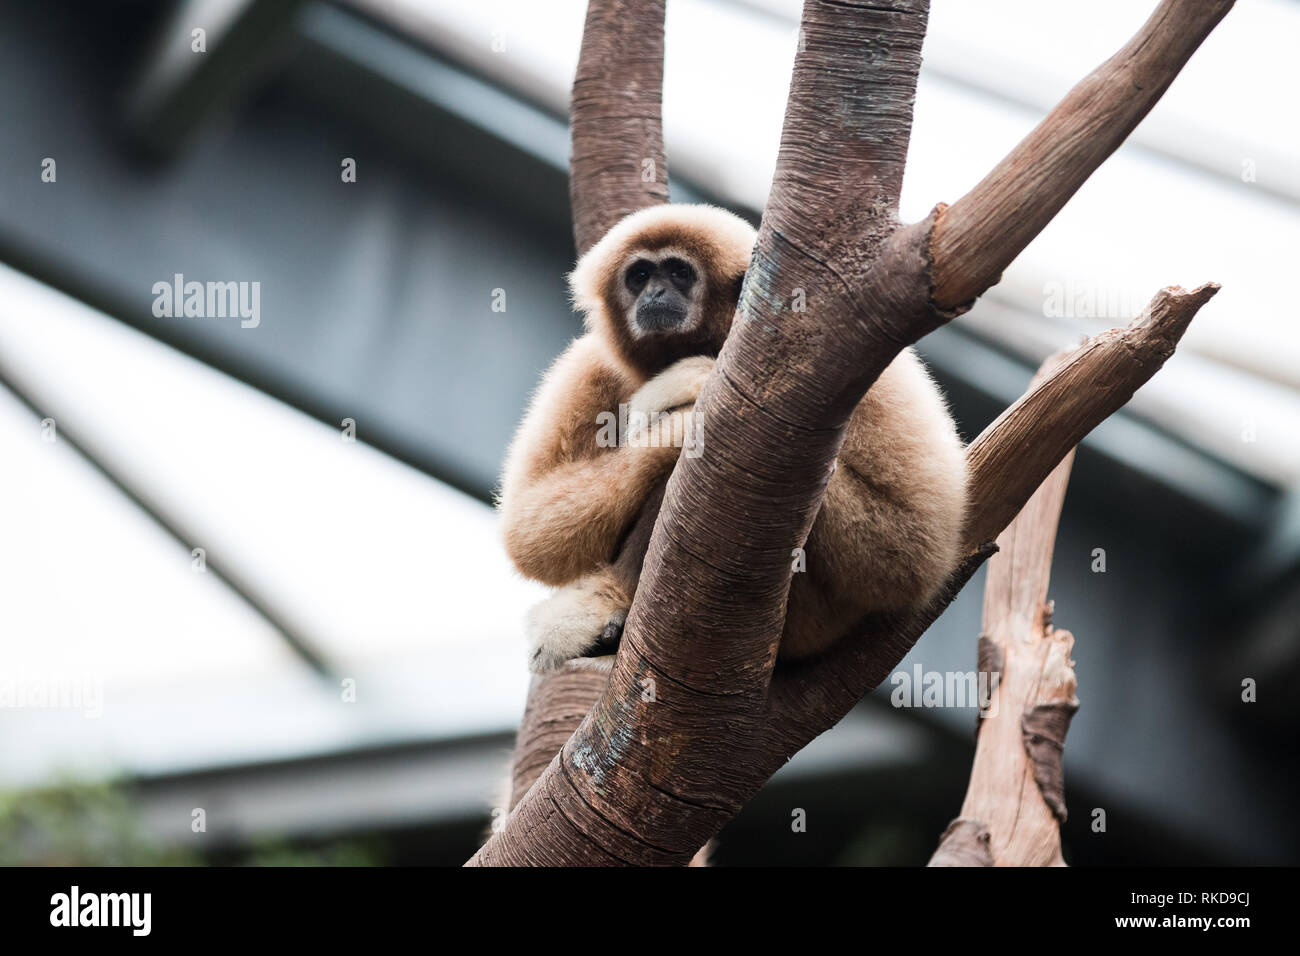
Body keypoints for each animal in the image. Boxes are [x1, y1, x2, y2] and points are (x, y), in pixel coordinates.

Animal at [497, 203, 967, 675]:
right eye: (639, 275)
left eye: (680, 272)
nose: (655, 293)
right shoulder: (592, 362)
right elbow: (532, 530)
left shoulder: (860, 357)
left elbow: (911, 550)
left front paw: (688, 386)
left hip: (812, 620)